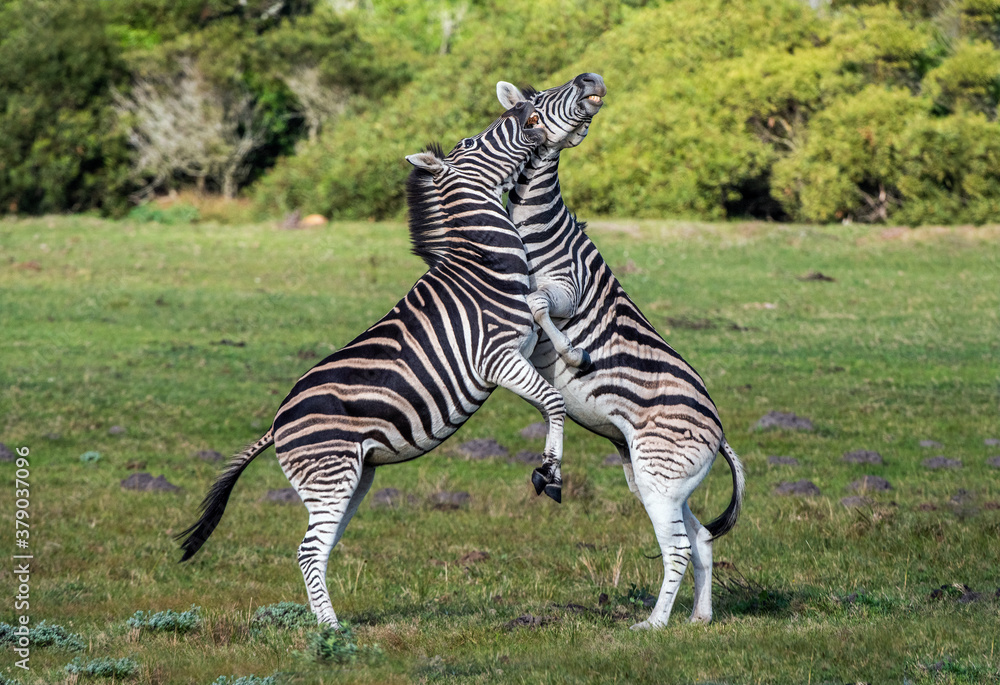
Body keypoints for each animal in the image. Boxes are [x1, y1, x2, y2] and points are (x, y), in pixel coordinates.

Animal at [177, 100, 580, 627]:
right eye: (471, 142)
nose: (522, 105)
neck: (485, 261)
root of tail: (275, 424)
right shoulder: (495, 358)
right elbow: (553, 402)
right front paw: (550, 473)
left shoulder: (521, 350)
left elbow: (545, 343)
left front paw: (573, 354)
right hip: (331, 476)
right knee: (309, 550)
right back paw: (332, 632)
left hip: (352, 478)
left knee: (319, 549)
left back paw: (328, 623)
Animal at [496, 74, 746, 629]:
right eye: (540, 97)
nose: (591, 80)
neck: (535, 228)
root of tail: (720, 432)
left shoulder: (568, 288)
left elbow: (538, 303)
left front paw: (573, 355)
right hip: (663, 482)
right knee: (699, 538)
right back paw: (699, 618)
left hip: (659, 477)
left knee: (677, 548)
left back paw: (653, 624)